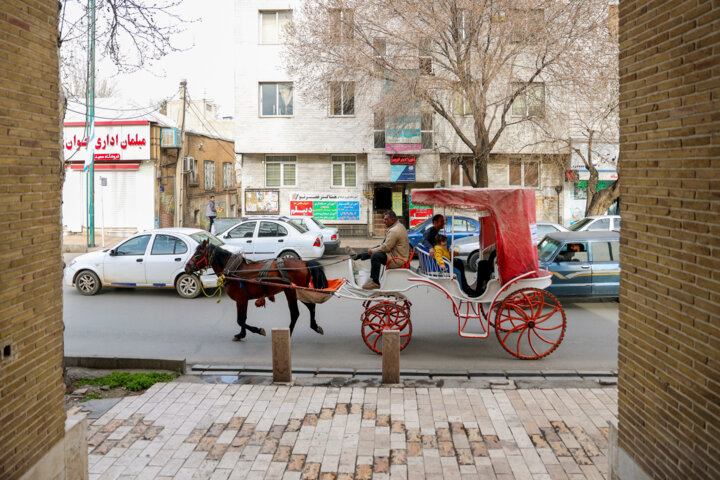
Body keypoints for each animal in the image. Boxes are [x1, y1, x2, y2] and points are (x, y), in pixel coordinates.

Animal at [188, 242, 330, 340]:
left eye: (197, 255)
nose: (187, 267)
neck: (233, 270)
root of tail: (304, 263)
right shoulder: (242, 300)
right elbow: (242, 318)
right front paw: (241, 334)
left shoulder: (240, 299)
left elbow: (240, 320)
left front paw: (258, 330)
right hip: (300, 291)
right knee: (311, 306)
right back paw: (315, 326)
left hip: (291, 291)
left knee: (295, 313)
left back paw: (288, 333)